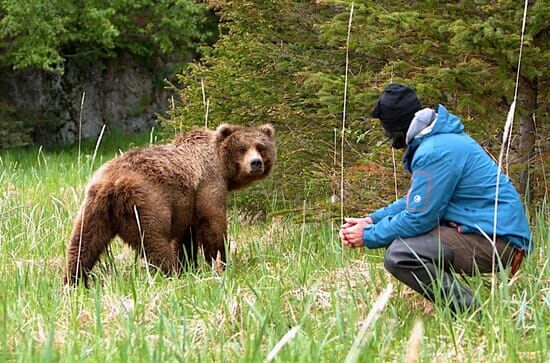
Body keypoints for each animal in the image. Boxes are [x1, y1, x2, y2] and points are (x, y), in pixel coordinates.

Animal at [64, 125, 276, 288]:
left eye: (261, 146)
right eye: (242, 148)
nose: (256, 163)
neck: (220, 165)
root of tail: (112, 184)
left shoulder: (187, 205)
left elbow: (186, 238)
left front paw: (190, 266)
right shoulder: (208, 184)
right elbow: (212, 224)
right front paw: (219, 263)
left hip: (94, 209)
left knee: (83, 244)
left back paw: (74, 282)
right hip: (147, 203)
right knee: (154, 241)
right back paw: (170, 275)